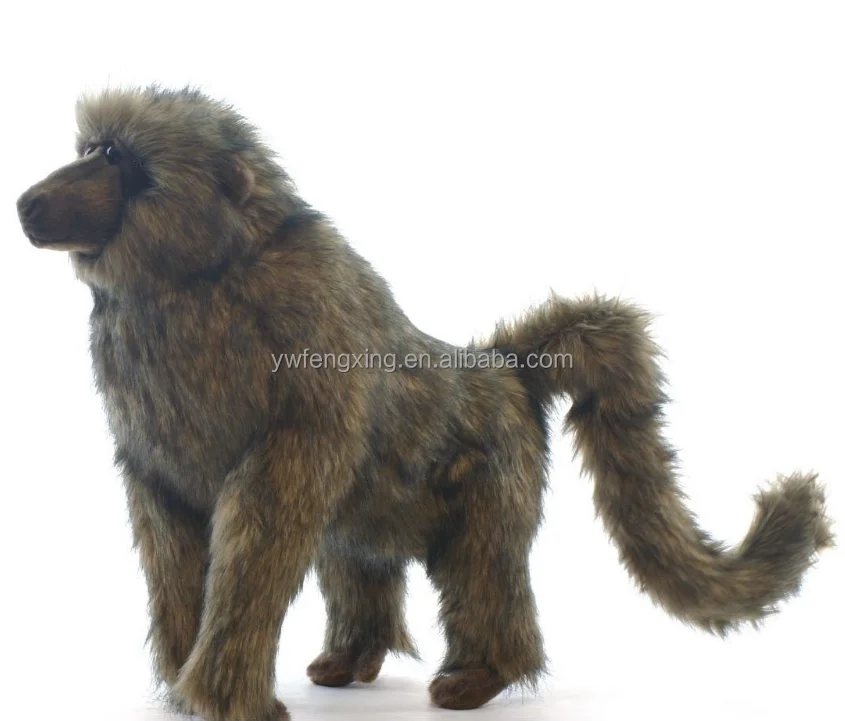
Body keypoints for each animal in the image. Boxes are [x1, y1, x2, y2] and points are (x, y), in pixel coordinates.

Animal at [15, 86, 833, 721]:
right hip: (376, 510)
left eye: (115, 159)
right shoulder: (153, 455)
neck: (200, 276)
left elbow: (258, 536)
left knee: (481, 570)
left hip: (492, 483)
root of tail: (502, 372)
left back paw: (481, 675)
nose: (27, 203)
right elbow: (171, 542)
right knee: (356, 559)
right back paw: (349, 659)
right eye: (91, 147)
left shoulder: (304, 379)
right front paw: (184, 689)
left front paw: (227, 695)